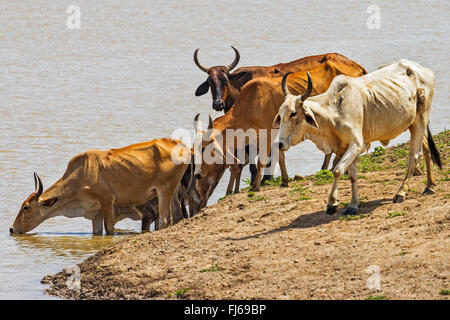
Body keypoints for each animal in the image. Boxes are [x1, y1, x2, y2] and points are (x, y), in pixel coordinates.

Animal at [274, 59, 442, 215]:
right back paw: (430, 186)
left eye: (293, 113)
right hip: (414, 123)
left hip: (421, 117)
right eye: (280, 114)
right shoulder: (344, 148)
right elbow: (352, 176)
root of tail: (422, 69)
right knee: (425, 149)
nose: (279, 144)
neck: (334, 110)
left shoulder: (356, 144)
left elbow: (337, 170)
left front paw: (332, 203)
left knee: (415, 155)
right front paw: (353, 204)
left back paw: (401, 193)